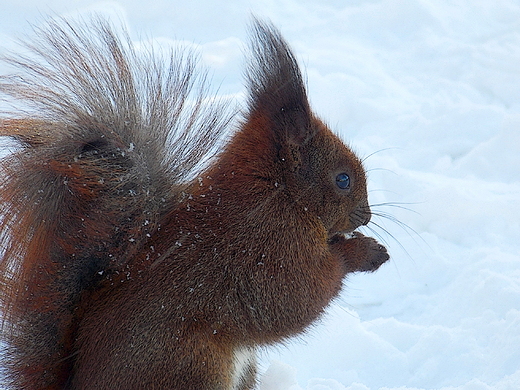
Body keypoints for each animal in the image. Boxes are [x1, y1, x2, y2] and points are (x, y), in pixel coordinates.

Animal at [0, 15, 388, 390]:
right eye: (343, 179)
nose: (367, 217)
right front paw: (363, 253)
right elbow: (297, 296)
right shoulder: (270, 246)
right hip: (191, 367)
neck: (279, 194)